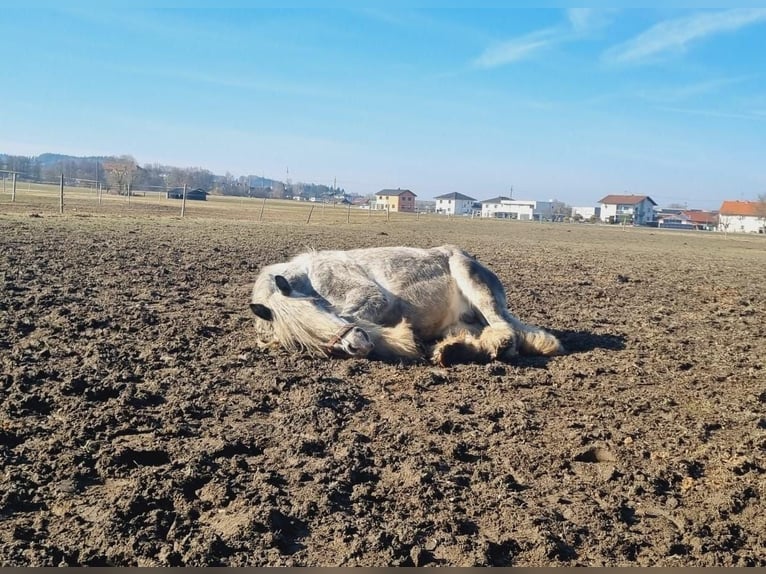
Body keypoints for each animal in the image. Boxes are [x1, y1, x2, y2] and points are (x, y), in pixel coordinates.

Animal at [249, 244, 564, 366]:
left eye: (318, 307)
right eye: (299, 342)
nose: (356, 347)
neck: (311, 276)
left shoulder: (370, 297)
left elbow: (356, 317)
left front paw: (398, 340)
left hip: (474, 284)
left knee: (507, 334)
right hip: (461, 324)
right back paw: (451, 350)